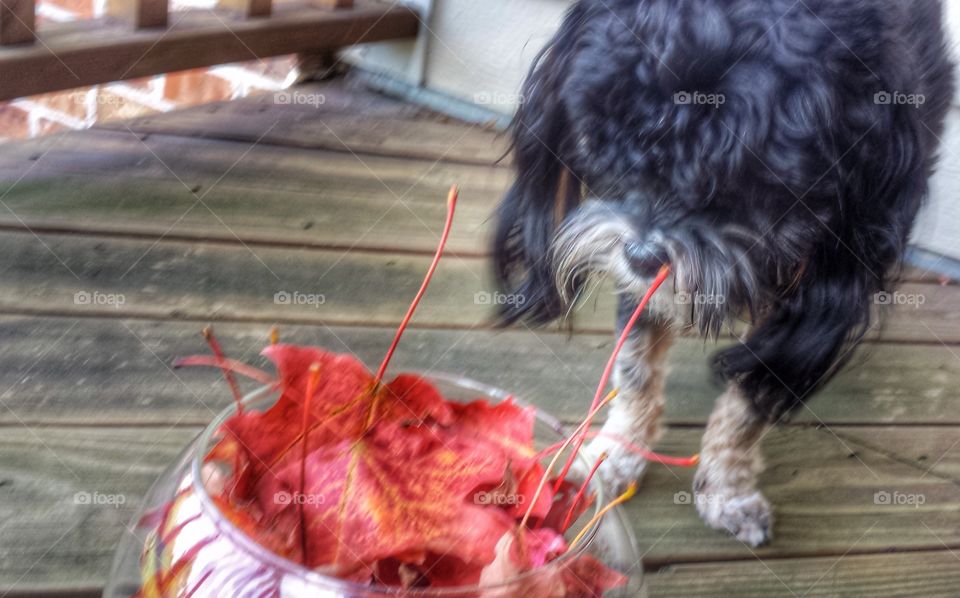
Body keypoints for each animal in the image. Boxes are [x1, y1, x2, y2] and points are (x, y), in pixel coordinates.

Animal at [492, 0, 956, 548]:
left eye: (742, 185)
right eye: (609, 147)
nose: (643, 255)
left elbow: (749, 405)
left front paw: (727, 490)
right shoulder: (646, 291)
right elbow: (635, 370)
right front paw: (616, 454)